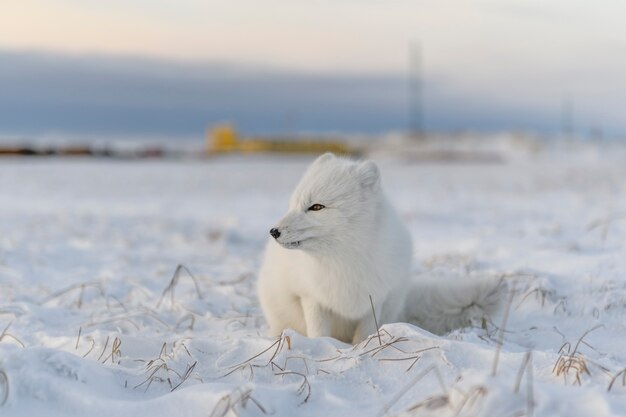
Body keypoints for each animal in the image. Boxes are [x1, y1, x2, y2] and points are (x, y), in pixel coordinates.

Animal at [256, 152, 500, 342]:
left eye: (316, 207)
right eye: (292, 204)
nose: (273, 232)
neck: (342, 261)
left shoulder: (376, 299)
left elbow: (364, 334)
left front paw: (363, 348)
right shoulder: (311, 297)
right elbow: (318, 332)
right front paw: (322, 348)